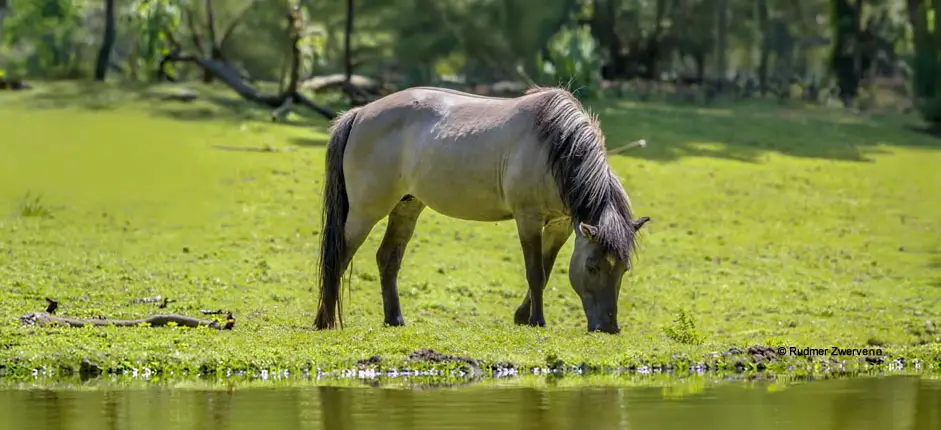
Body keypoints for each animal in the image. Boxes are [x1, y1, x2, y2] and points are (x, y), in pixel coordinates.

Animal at [313, 85, 650, 334]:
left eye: (623, 269)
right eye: (592, 267)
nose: (609, 328)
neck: (555, 148)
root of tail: (359, 113)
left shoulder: (561, 225)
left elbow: (546, 269)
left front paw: (522, 316)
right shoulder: (528, 218)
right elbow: (536, 272)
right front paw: (537, 321)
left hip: (406, 206)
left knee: (387, 258)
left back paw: (394, 320)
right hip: (365, 212)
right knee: (338, 257)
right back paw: (324, 321)